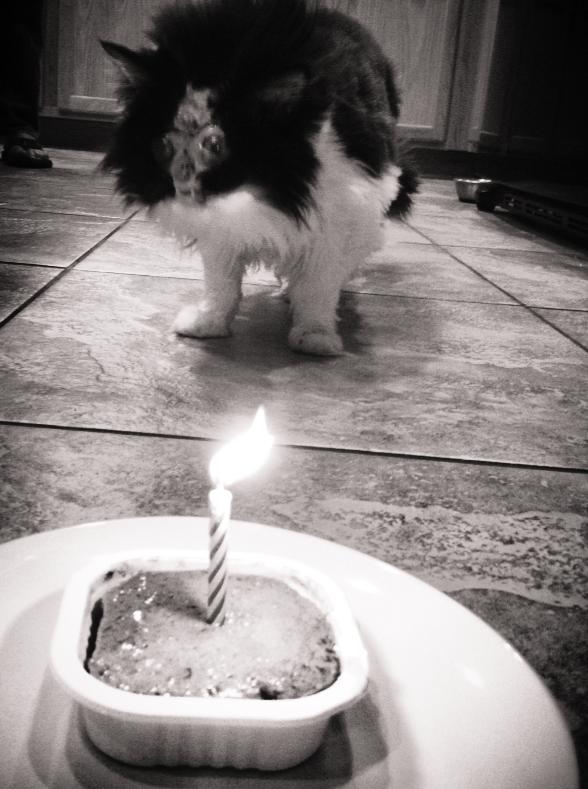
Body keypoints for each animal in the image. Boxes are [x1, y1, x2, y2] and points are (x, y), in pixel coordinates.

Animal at [101, 0, 417, 355]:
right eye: (164, 145)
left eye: (215, 146)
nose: (181, 182)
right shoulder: (219, 226)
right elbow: (221, 282)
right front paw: (208, 324)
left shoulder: (338, 213)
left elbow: (318, 284)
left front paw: (315, 335)